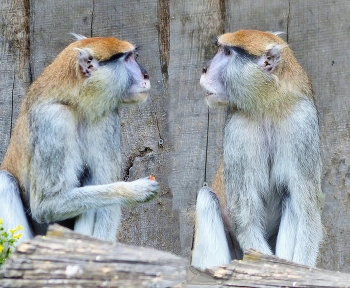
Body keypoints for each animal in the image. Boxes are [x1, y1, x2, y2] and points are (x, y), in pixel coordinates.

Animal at [0, 34, 160, 243]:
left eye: (134, 56)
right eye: (127, 59)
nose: (146, 75)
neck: (75, 102)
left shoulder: (105, 118)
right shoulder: (53, 120)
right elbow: (46, 206)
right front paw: (135, 190)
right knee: (4, 181)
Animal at [193, 29, 324, 270]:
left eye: (227, 53)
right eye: (220, 49)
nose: (205, 68)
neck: (268, 106)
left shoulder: (302, 122)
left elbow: (307, 209)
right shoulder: (238, 128)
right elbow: (246, 217)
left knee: (291, 197)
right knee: (206, 198)